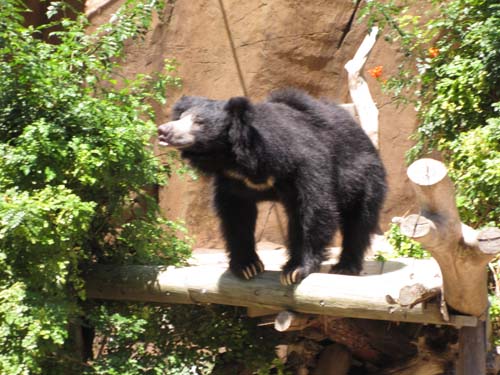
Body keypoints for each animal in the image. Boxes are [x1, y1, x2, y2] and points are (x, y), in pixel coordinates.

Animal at [159, 89, 386, 286]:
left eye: (199, 122)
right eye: (181, 118)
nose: (163, 130)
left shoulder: (305, 164)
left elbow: (313, 209)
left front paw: (295, 269)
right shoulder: (231, 180)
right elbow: (236, 215)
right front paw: (247, 266)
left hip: (365, 176)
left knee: (359, 221)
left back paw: (345, 267)